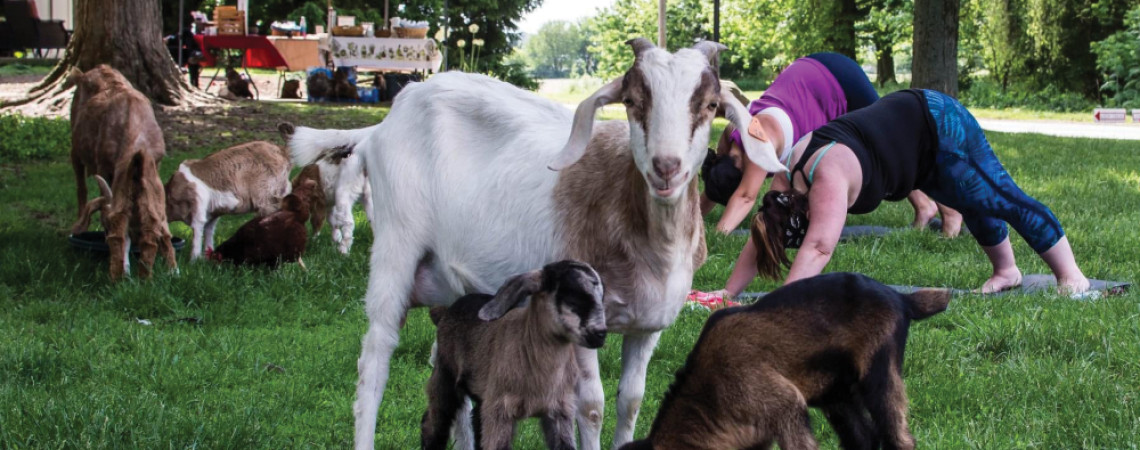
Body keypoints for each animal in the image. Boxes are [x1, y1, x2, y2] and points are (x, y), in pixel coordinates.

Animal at [69, 64, 176, 280]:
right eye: (106, 225)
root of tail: (93, 69)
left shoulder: (156, 166)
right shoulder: (104, 166)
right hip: (75, 143)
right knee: (80, 184)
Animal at [167, 140, 296, 260]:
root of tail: (281, 151)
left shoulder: (198, 204)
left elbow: (197, 231)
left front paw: (193, 261)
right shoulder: (212, 213)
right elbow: (209, 231)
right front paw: (206, 259)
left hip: (267, 196)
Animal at [424, 260, 611, 450]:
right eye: (573, 299)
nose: (601, 334)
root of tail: (445, 312)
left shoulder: (560, 410)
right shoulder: (500, 411)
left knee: (476, 419)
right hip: (445, 374)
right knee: (434, 421)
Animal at [624, 271, 953, 450]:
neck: (707, 392)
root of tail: (902, 298)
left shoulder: (784, 406)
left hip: (878, 373)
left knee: (899, 437)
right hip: (836, 394)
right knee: (864, 438)